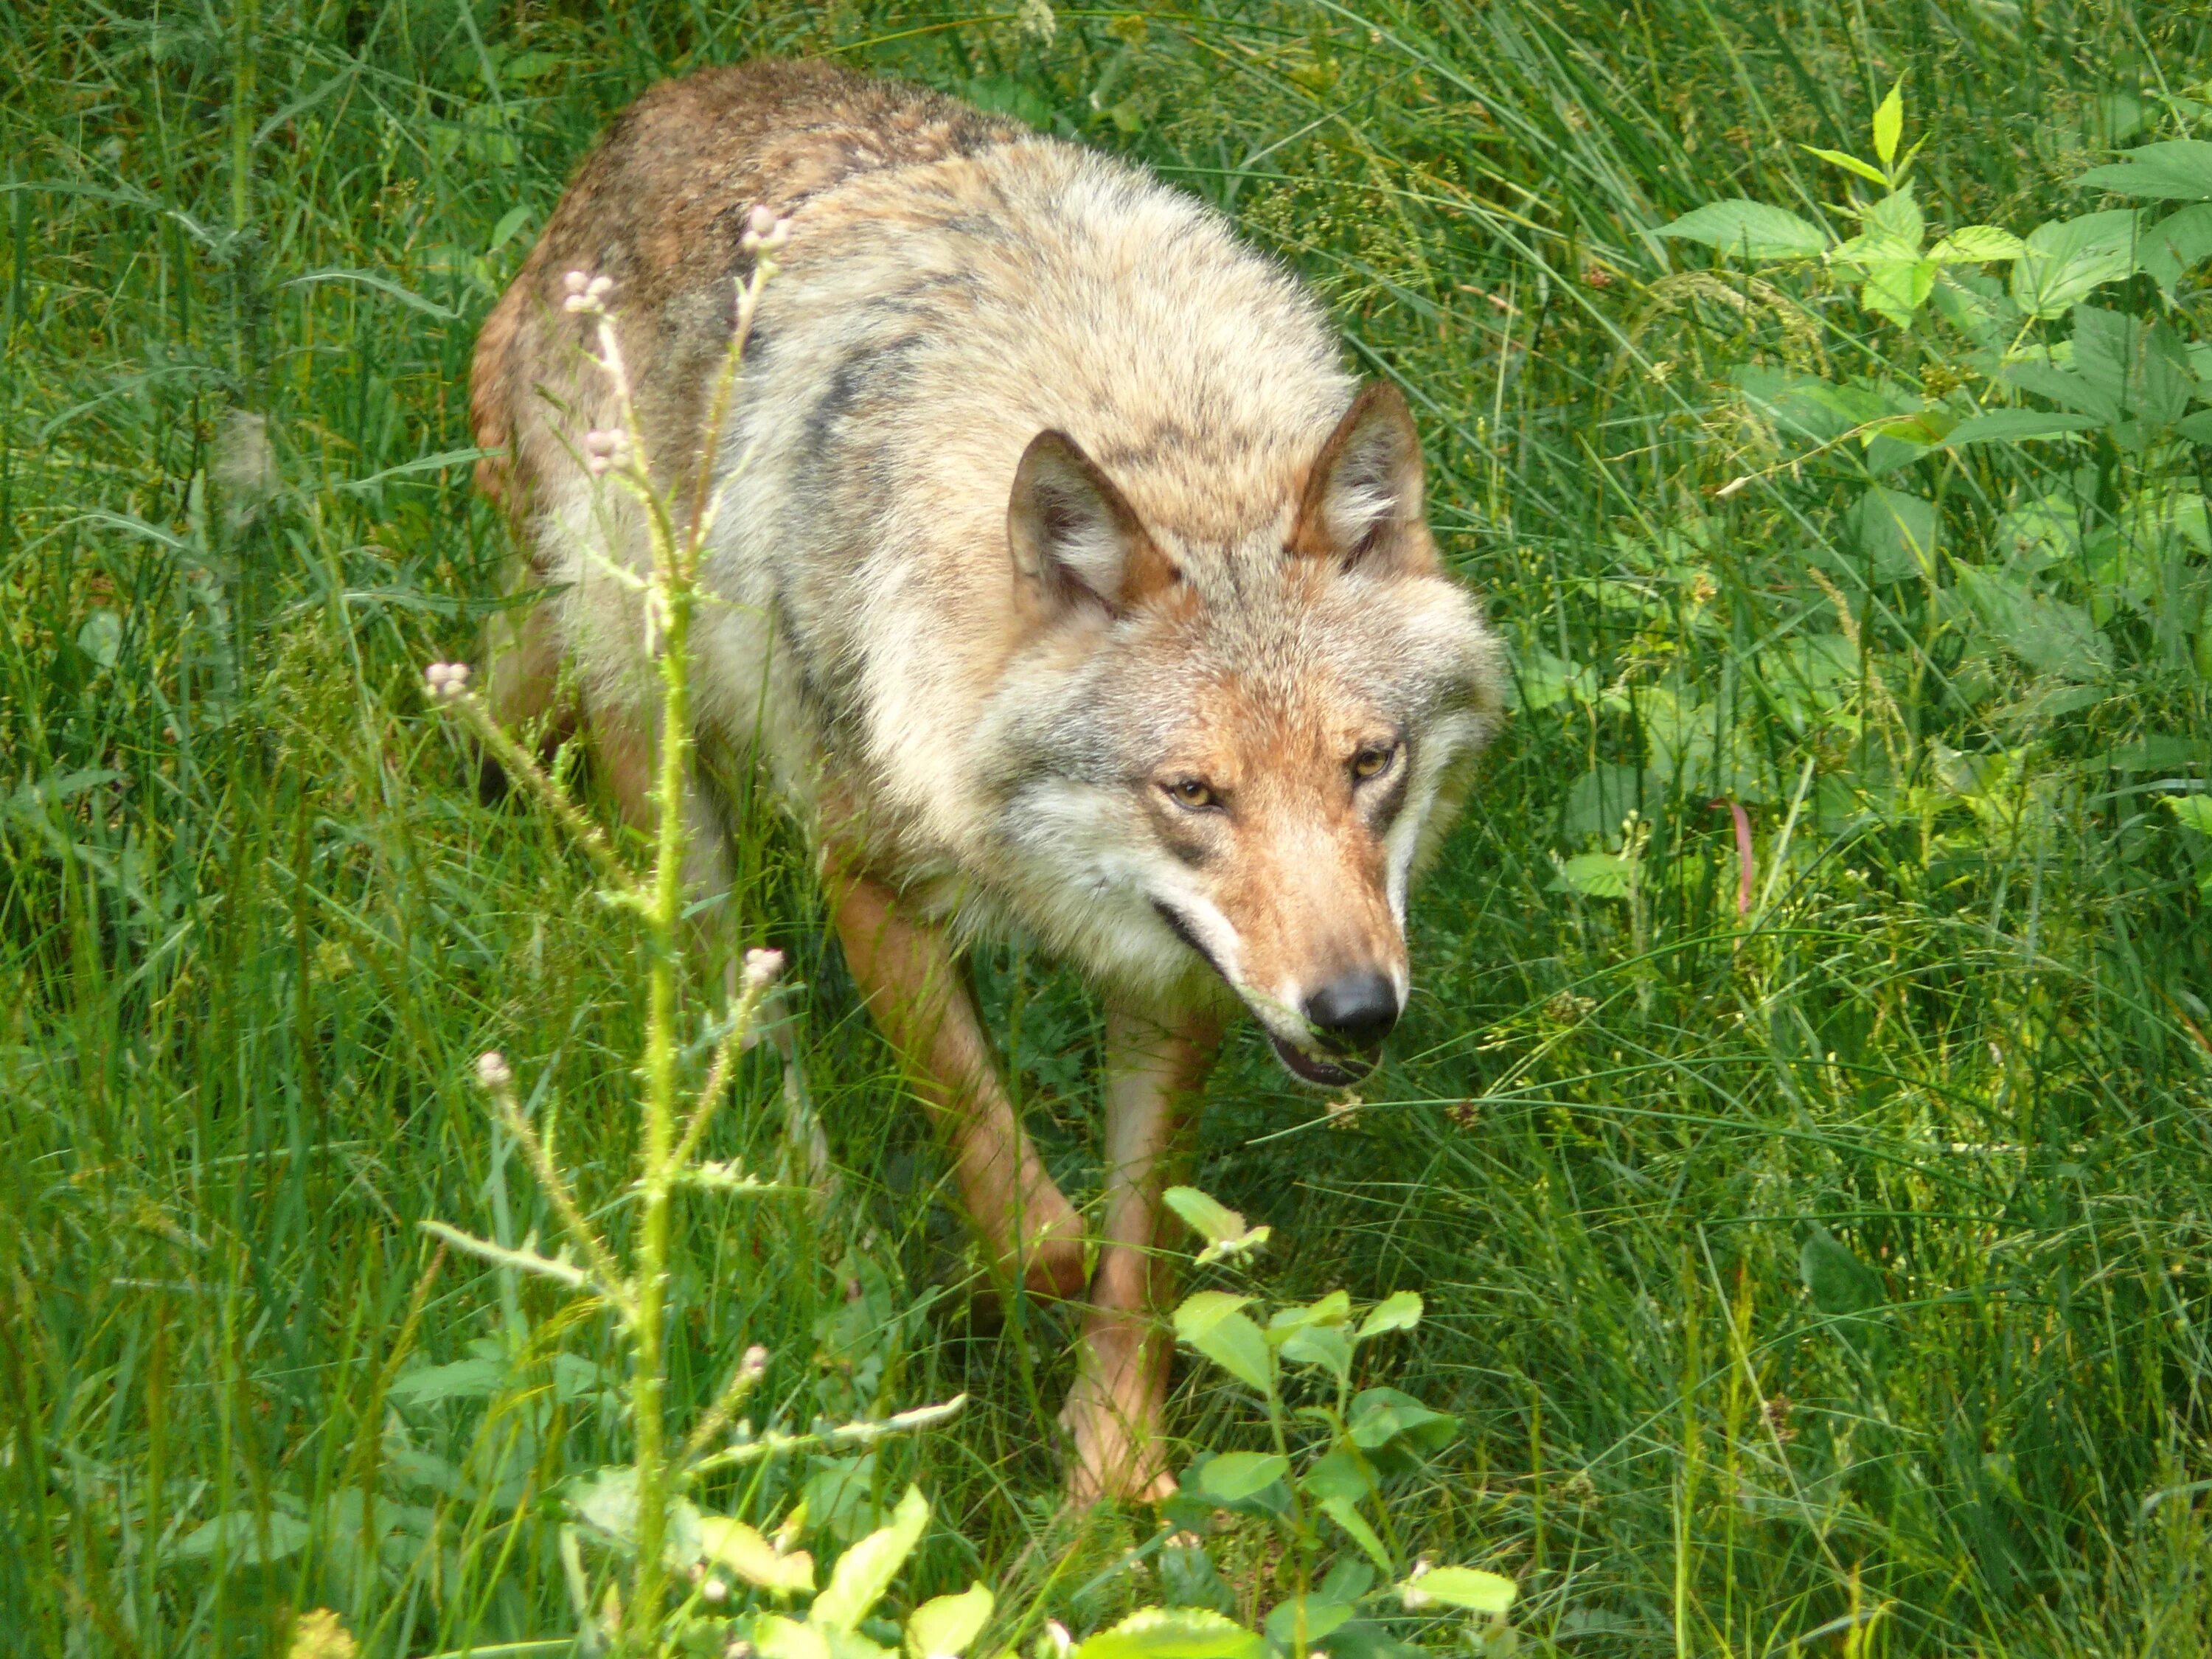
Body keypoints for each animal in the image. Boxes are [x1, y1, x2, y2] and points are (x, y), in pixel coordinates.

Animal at [467, 58, 1504, 1504]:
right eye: (1194, 792)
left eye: (1370, 763)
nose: (1355, 1012)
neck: (1151, 423)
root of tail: (636, 130)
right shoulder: (870, 884)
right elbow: (1034, 1221)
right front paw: (989, 1302)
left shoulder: (1172, 974)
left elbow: (1142, 1249)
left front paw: (1113, 1477)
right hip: (682, 814)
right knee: (753, 1053)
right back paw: (839, 1262)